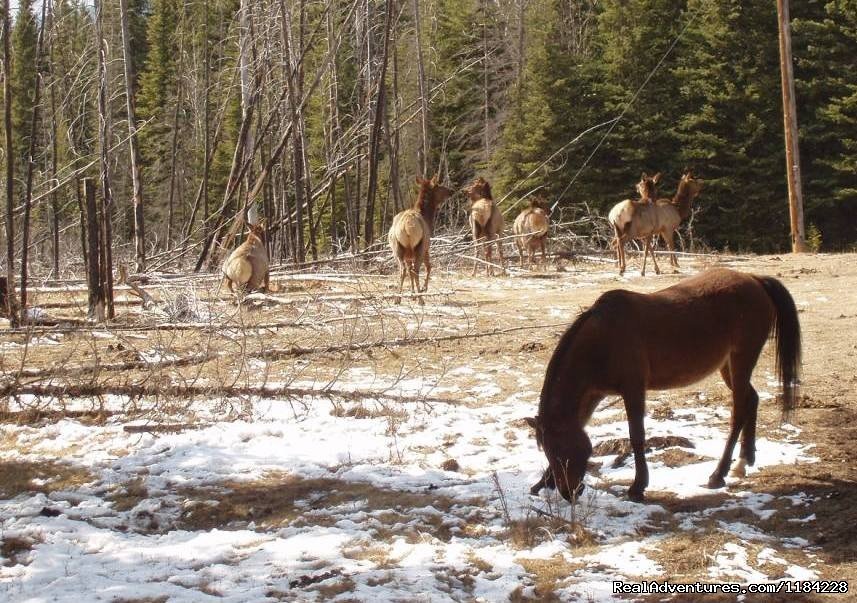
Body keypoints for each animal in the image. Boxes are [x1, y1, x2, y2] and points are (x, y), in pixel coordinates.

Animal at [524, 272, 800, 502]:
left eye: (563, 450)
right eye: (548, 451)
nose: (568, 492)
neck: (603, 339)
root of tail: (754, 279)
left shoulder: (633, 389)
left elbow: (636, 436)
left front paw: (638, 487)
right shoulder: (594, 394)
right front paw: (540, 484)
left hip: (742, 359)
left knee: (739, 412)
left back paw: (718, 474)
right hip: (728, 366)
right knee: (752, 399)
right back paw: (744, 461)